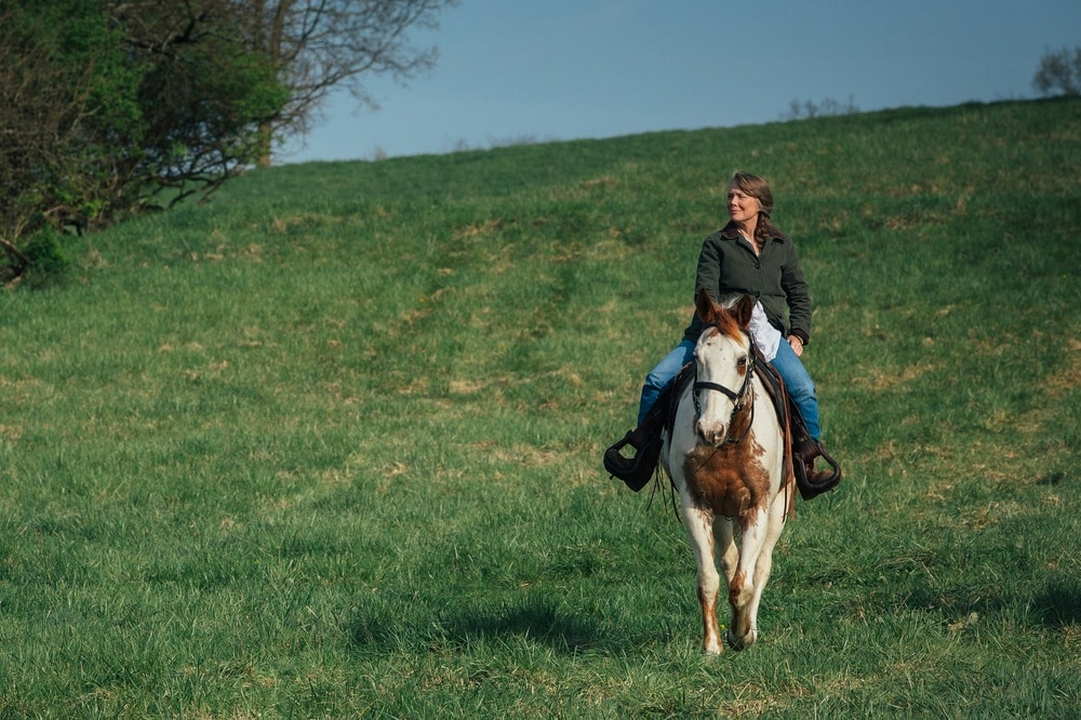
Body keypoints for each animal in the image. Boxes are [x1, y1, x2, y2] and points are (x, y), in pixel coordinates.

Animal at [652, 287, 799, 648]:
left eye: (741, 360)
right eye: (697, 359)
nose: (710, 430)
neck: (729, 444)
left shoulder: (757, 508)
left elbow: (743, 584)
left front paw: (742, 633)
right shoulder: (696, 504)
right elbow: (709, 579)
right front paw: (713, 645)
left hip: (777, 508)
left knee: (761, 566)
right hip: (721, 511)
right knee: (729, 560)